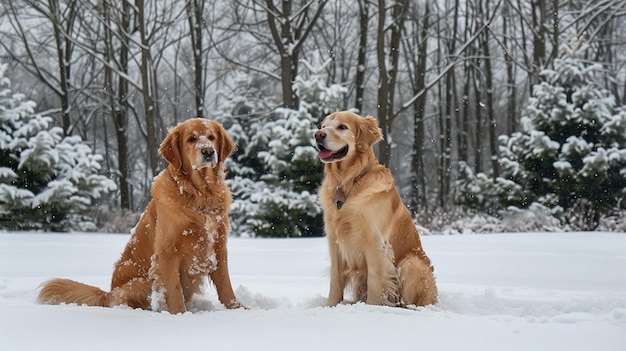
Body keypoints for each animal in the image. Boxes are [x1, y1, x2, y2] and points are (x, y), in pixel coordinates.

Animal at [37, 118, 244, 314]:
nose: (208, 151)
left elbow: (226, 286)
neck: (200, 195)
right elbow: (174, 290)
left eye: (211, 137)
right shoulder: (167, 252)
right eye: (191, 139)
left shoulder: (218, 246)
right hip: (141, 282)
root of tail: (107, 294)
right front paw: (180, 315)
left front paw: (238, 310)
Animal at [314, 112, 436, 308]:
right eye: (323, 126)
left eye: (342, 127)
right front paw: (331, 307)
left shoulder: (376, 244)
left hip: (411, 264)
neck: (349, 181)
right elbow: (335, 280)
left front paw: (372, 309)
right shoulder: (335, 241)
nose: (318, 135)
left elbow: (375, 283)